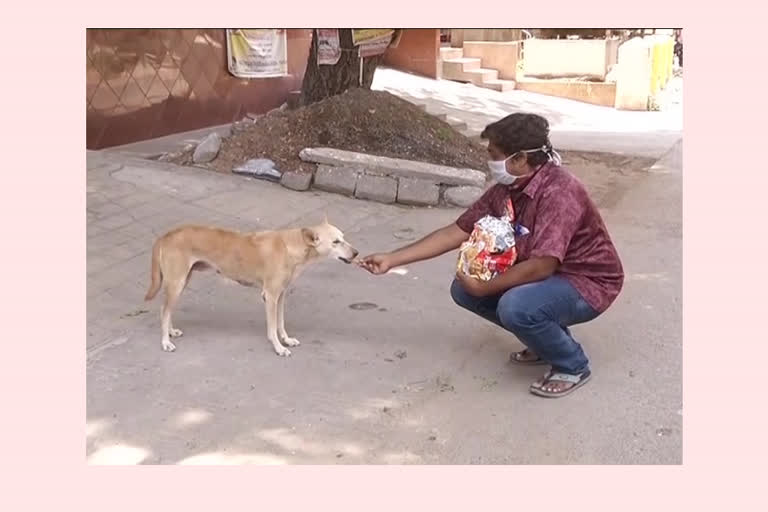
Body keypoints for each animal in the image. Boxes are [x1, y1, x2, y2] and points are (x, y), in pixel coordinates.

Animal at [143, 217, 356, 356]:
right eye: (336, 242)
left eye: (344, 237)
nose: (356, 253)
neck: (291, 246)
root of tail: (166, 235)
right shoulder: (270, 296)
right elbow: (272, 328)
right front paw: (278, 347)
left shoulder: (281, 295)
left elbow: (280, 323)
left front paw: (286, 340)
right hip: (177, 282)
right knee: (164, 310)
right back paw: (165, 341)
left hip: (181, 281)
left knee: (167, 309)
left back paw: (171, 332)